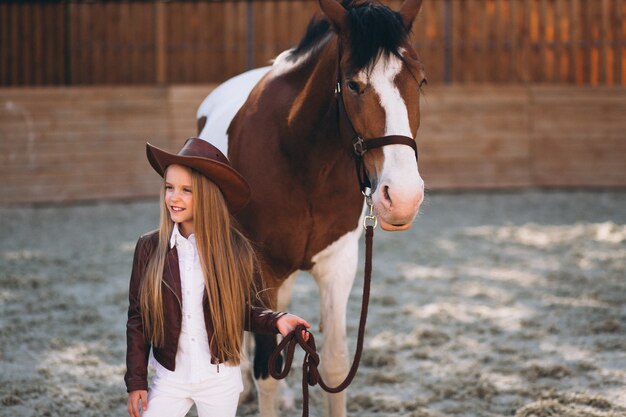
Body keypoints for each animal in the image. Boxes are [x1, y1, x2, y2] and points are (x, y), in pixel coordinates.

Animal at [195, 1, 426, 414]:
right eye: (353, 84)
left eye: (420, 81)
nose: (402, 197)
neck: (304, 163)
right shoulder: (262, 266)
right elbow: (267, 371)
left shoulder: (338, 265)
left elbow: (334, 366)